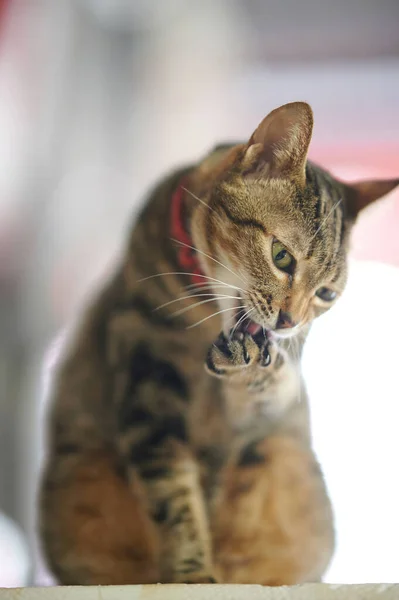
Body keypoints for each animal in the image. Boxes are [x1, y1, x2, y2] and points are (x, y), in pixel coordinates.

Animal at [39, 101, 399, 584]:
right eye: (282, 257)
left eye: (326, 294)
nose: (290, 321)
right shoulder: (145, 376)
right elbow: (172, 494)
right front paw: (191, 576)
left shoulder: (252, 419)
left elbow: (272, 380)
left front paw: (255, 362)